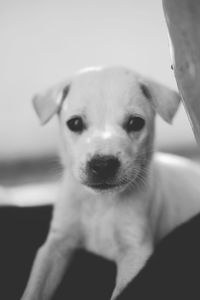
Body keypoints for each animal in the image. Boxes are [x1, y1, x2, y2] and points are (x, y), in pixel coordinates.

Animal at [20, 67, 200, 300]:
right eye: (75, 123)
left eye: (135, 122)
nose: (103, 164)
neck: (100, 203)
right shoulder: (56, 244)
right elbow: (35, 287)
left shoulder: (135, 252)